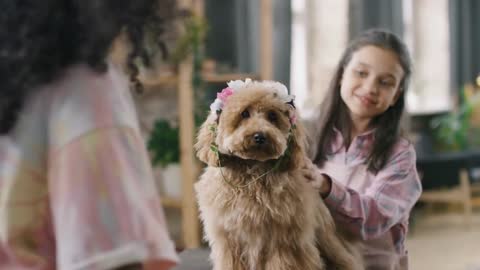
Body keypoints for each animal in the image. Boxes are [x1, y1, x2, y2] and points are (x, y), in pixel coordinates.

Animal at [193, 79, 362, 268]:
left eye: (272, 116)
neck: (253, 172)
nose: (260, 136)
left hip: (329, 243)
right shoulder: (230, 242)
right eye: (244, 113)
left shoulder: (282, 242)